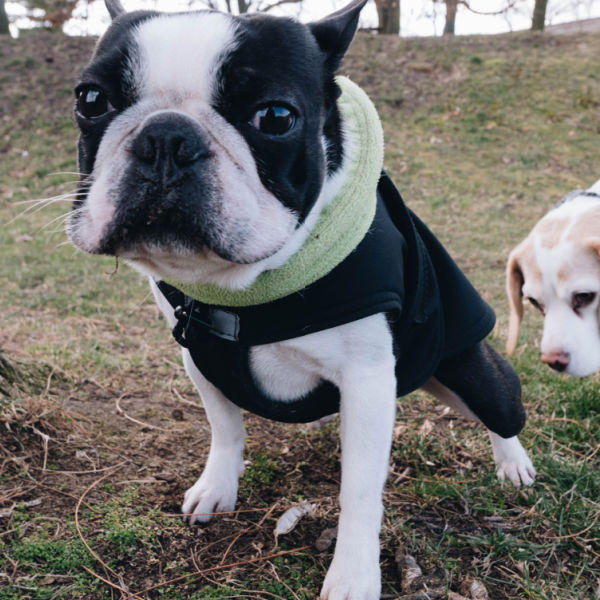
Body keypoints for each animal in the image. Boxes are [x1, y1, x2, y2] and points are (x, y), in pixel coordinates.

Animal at [68, 2, 536, 596]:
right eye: (90, 100)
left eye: (275, 117)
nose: (166, 138)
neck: (244, 289)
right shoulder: (197, 356)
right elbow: (224, 426)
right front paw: (217, 486)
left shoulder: (368, 380)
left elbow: (359, 490)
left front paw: (354, 573)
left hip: (462, 371)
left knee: (502, 405)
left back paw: (513, 463)